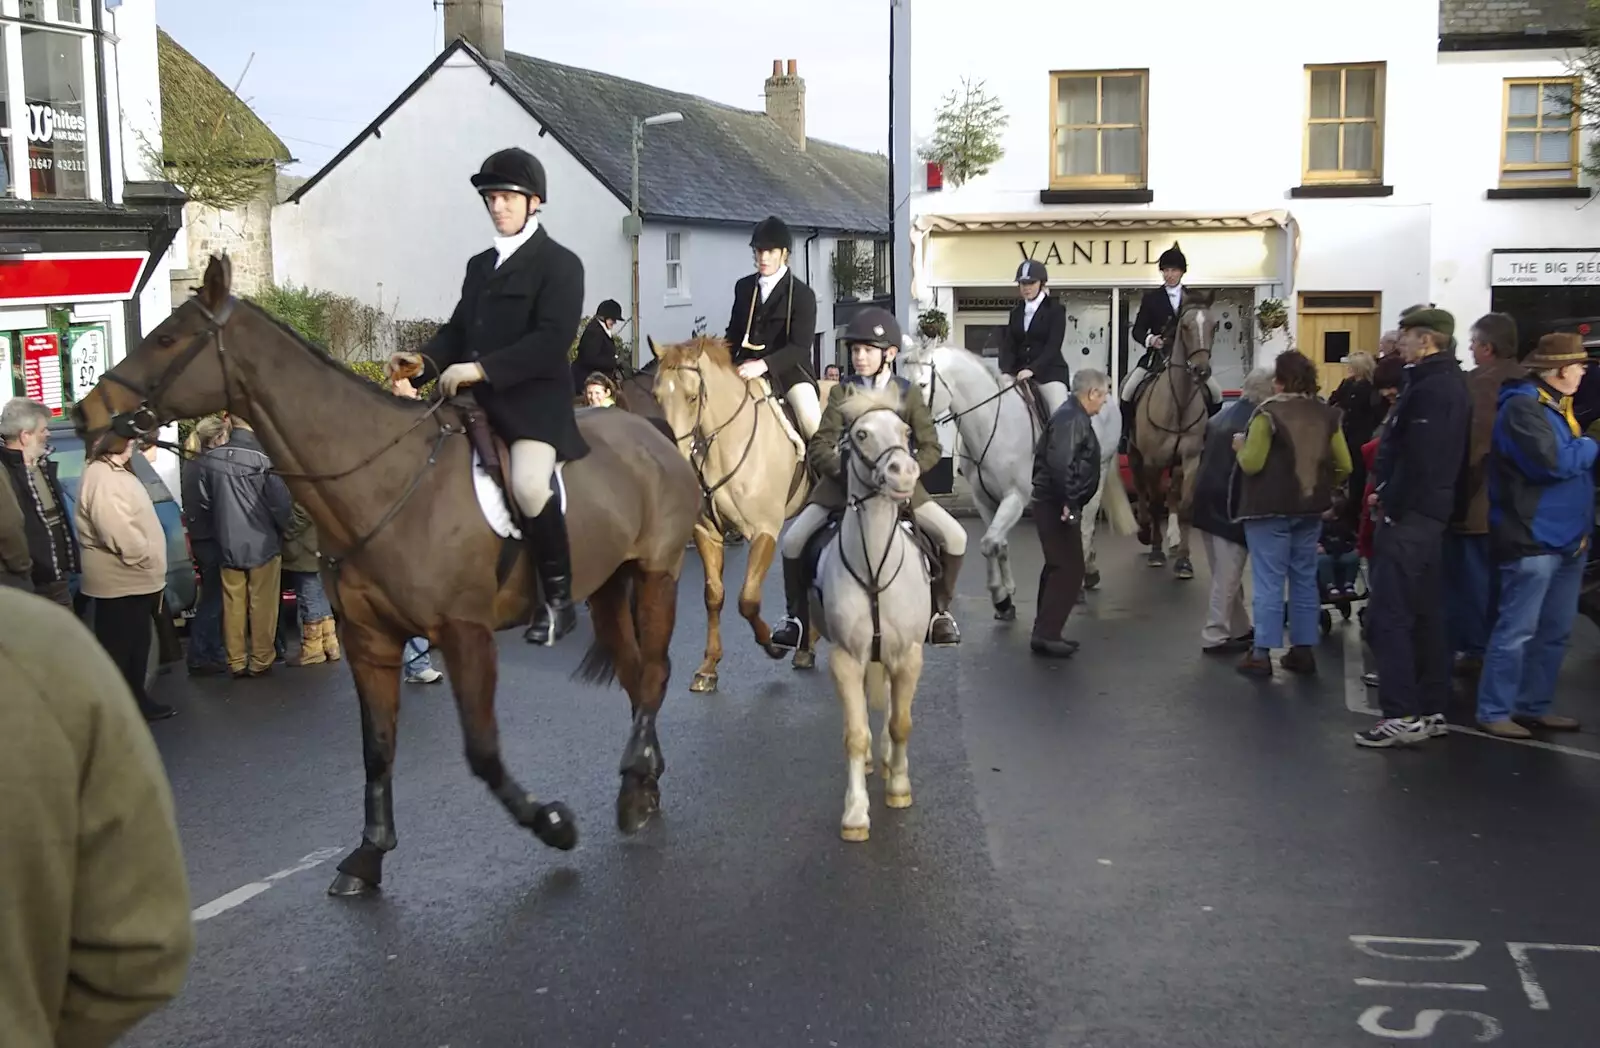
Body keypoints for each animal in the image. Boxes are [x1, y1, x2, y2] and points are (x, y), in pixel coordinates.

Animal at [73, 257, 700, 896]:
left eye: (166, 339)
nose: (84, 413)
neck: (385, 480)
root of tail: (652, 433)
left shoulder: (465, 634)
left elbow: (482, 751)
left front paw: (551, 823)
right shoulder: (369, 639)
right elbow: (376, 747)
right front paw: (368, 853)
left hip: (657, 575)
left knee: (654, 673)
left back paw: (636, 784)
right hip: (607, 588)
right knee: (636, 676)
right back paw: (642, 779)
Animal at [646, 336, 838, 694]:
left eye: (693, 397)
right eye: (656, 396)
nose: (673, 456)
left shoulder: (764, 531)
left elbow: (747, 599)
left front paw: (774, 644)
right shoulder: (706, 532)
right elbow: (714, 595)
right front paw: (708, 667)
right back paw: (807, 645)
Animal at [812, 388, 928, 838]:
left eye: (906, 431)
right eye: (860, 434)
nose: (904, 473)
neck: (874, 566)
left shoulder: (908, 656)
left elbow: (901, 723)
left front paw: (899, 785)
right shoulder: (846, 659)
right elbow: (855, 733)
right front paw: (856, 812)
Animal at [1126, 291, 1209, 579]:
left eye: (1214, 325)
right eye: (1185, 327)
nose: (1201, 371)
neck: (1179, 401)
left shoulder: (1192, 458)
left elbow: (1186, 507)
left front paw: (1184, 560)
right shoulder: (1152, 461)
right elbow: (1152, 503)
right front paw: (1155, 551)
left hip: (1176, 463)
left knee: (1172, 493)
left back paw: (1173, 539)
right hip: (1135, 455)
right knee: (1141, 490)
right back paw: (1144, 531)